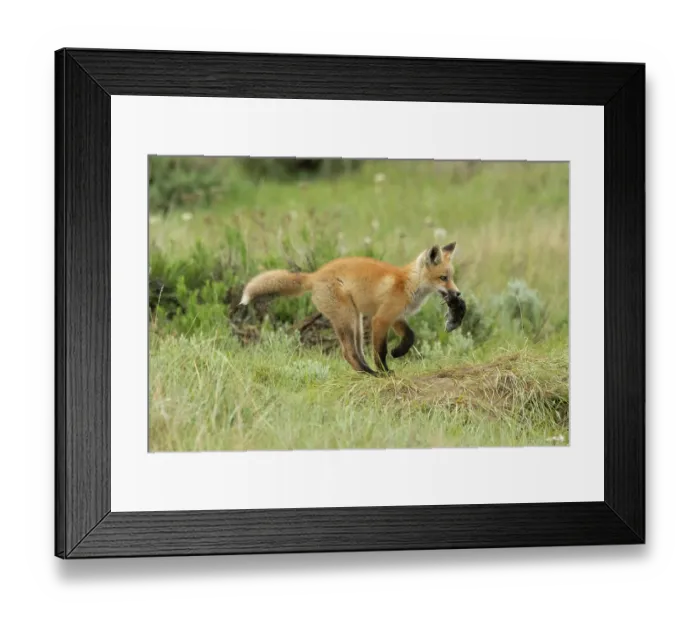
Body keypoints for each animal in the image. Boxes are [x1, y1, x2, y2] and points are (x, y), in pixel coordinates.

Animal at [239, 241, 461, 376]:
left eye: (451, 277)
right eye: (443, 278)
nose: (457, 294)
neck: (407, 284)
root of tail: (314, 275)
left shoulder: (395, 317)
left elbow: (410, 336)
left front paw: (398, 352)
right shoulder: (380, 318)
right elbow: (380, 351)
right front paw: (385, 371)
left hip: (356, 321)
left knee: (356, 352)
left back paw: (365, 372)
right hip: (347, 319)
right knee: (348, 353)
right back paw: (371, 374)